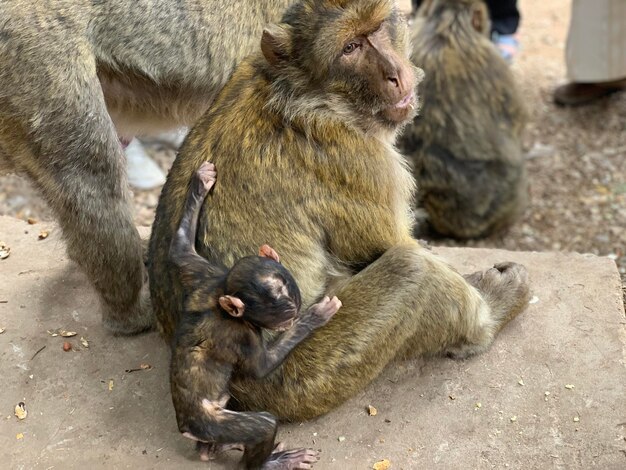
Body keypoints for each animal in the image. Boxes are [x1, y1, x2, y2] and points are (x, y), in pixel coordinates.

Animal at [167, 161, 342, 466]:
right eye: (286, 319)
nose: (288, 323)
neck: (221, 297)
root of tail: (186, 426)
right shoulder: (242, 335)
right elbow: (261, 367)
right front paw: (316, 315)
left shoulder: (206, 274)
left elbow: (180, 250)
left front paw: (201, 182)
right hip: (211, 422)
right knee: (263, 425)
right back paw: (272, 462)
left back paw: (213, 449)